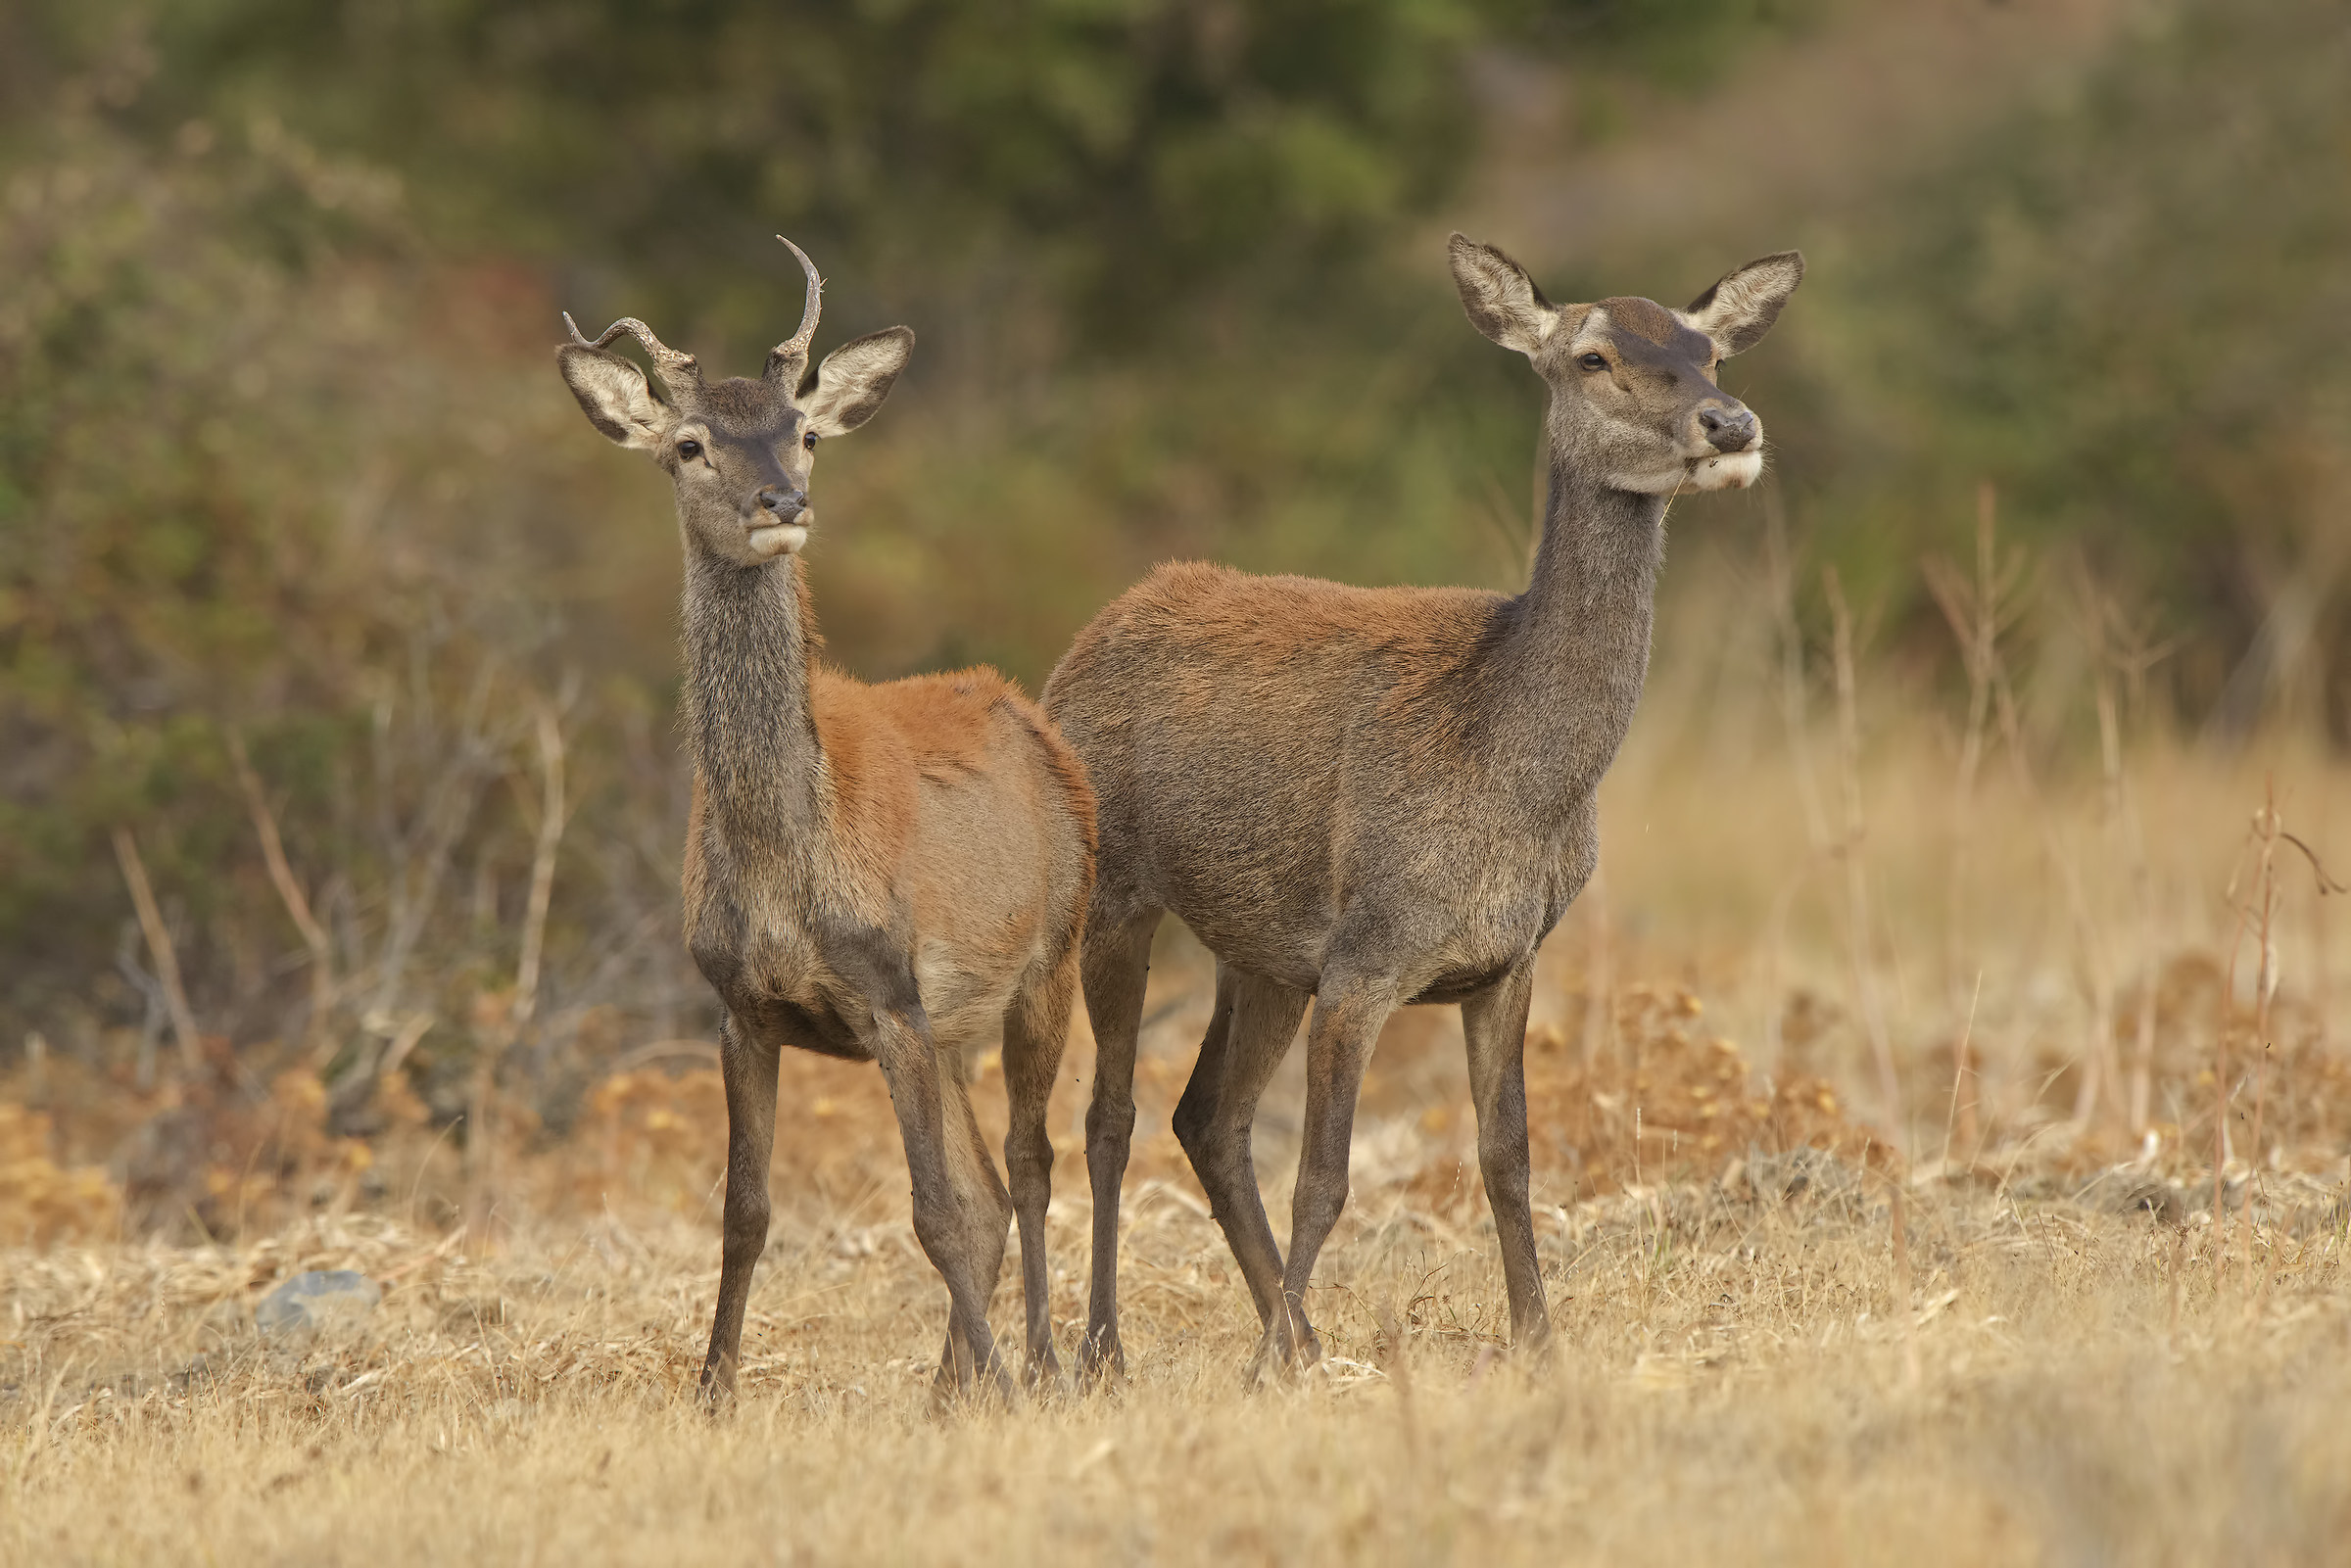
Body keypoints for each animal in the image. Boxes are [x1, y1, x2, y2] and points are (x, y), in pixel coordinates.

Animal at [555, 238, 1095, 1403]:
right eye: (689, 443)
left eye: (802, 429)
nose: (783, 499)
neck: (787, 859)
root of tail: (1031, 715)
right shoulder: (741, 1006)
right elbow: (744, 1212)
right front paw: (711, 1391)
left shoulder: (889, 987)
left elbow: (933, 1213)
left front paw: (1005, 1378)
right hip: (956, 1028)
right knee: (994, 1190)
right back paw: (948, 1391)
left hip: (1057, 953)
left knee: (1030, 1168)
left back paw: (1035, 1362)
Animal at [1042, 234, 1802, 1381]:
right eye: (1592, 355)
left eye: (1706, 349)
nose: (1732, 423)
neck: (1517, 783)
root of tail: (1078, 646)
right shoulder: (1365, 957)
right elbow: (1326, 1177)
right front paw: (1263, 1369)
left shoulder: (1506, 958)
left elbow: (1507, 1157)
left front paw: (1537, 1338)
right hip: (1114, 890)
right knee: (1110, 1114)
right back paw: (1105, 1350)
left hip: (1261, 951)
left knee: (1206, 1116)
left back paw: (1298, 1337)